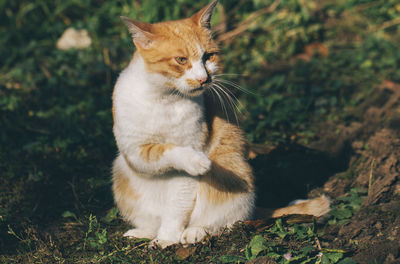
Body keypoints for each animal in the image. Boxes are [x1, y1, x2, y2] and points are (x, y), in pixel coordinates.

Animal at [111, 0, 330, 249]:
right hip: (119, 169)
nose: (203, 79)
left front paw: (167, 238)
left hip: (232, 173)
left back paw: (194, 232)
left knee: (227, 221)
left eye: (208, 56)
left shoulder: (188, 166)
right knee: (153, 220)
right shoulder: (132, 150)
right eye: (181, 60)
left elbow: (176, 208)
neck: (164, 99)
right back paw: (144, 232)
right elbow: (159, 150)